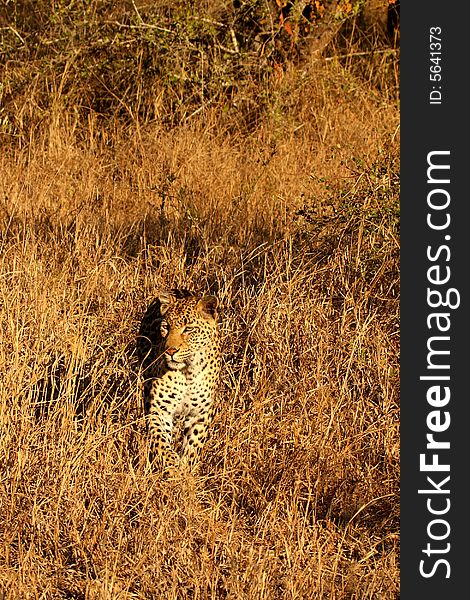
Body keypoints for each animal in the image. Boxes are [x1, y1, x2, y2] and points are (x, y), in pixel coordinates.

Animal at [137, 288, 221, 472]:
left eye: (188, 329)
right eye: (166, 327)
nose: (170, 351)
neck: (187, 372)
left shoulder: (200, 415)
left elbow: (192, 448)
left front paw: (185, 472)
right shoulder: (160, 411)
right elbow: (161, 443)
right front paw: (172, 469)